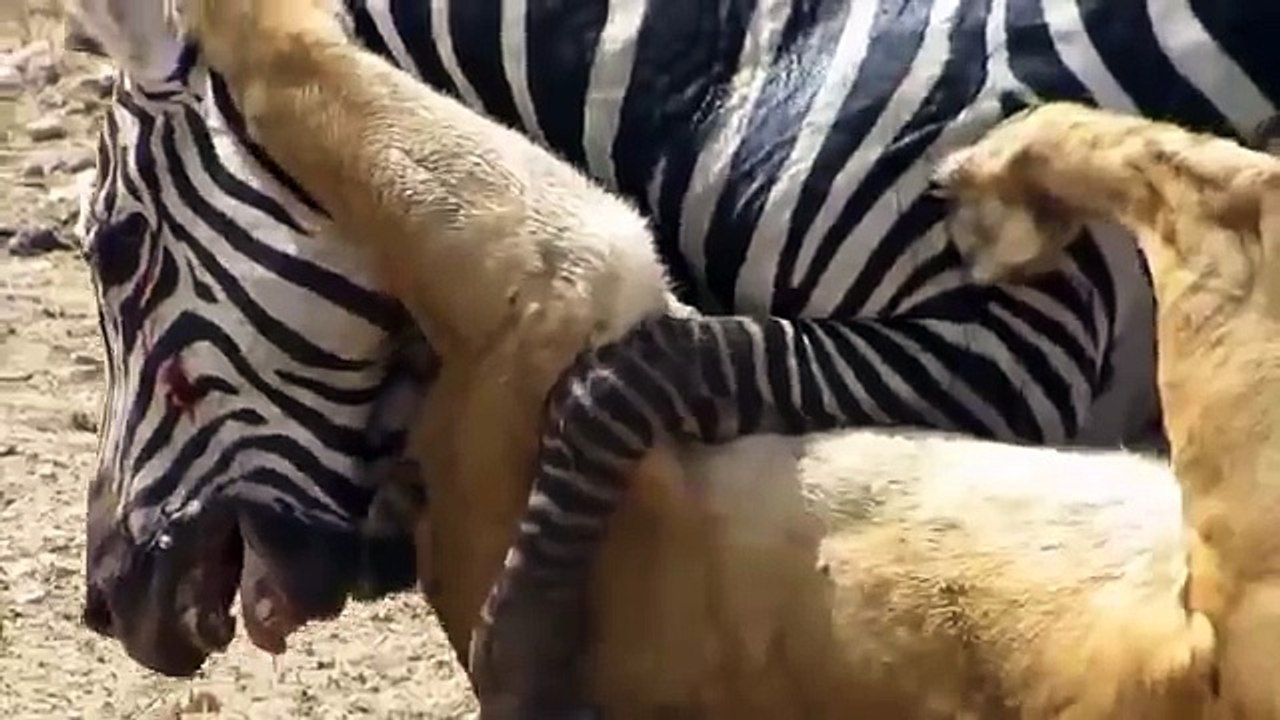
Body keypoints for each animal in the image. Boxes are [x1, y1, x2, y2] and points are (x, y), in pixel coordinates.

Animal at [66, 0, 1275, 680]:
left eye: (116, 251)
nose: (108, 604)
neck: (732, 85)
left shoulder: (1006, 350)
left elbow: (625, 375)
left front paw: (527, 627)